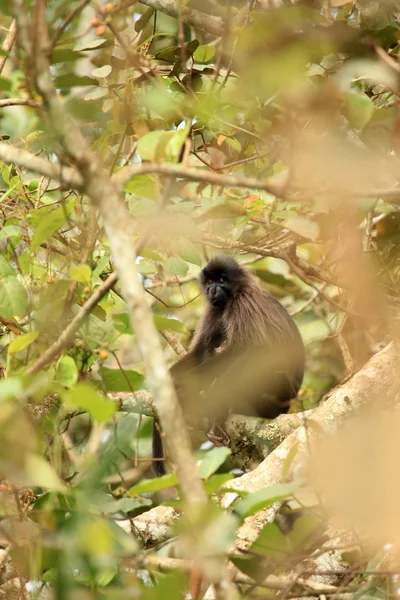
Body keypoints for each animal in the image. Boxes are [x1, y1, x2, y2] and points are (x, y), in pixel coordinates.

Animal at [152, 255, 304, 476]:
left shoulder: (243, 303)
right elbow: (199, 352)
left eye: (222, 280)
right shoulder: (214, 309)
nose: (212, 289)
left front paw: (181, 388)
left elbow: (244, 348)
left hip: (277, 390)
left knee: (252, 354)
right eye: (209, 282)